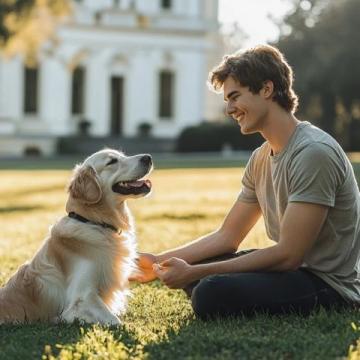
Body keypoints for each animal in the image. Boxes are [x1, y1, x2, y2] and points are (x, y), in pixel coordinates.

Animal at [0, 148, 152, 324]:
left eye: (123, 155)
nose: (148, 157)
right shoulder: (81, 298)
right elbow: (114, 320)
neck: (94, 223)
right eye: (112, 161)